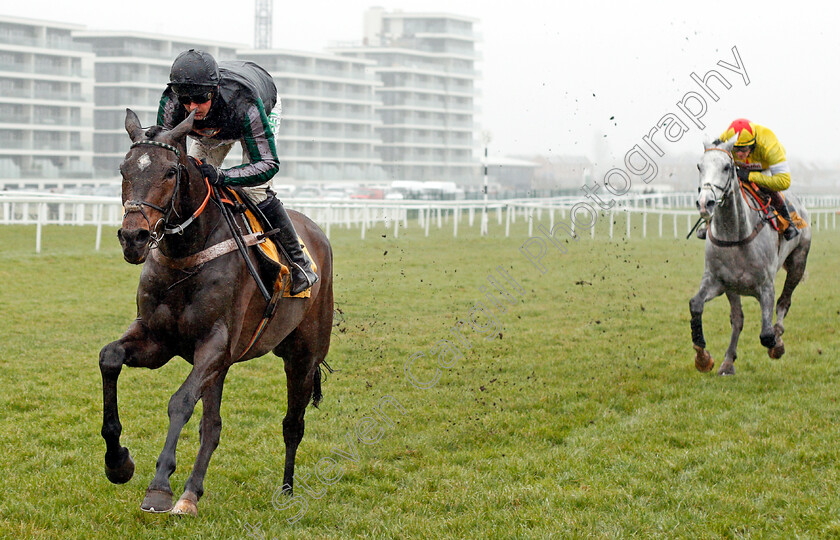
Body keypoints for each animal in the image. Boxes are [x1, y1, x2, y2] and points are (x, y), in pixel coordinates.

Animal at [100, 108, 334, 516]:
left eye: (170, 172)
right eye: (123, 168)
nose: (134, 238)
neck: (187, 253)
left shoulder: (214, 345)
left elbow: (180, 402)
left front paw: (159, 487)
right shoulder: (158, 340)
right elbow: (110, 357)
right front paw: (118, 463)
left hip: (303, 356)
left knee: (293, 423)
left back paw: (287, 490)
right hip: (224, 366)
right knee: (212, 426)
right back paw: (191, 494)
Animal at [688, 136, 812, 376]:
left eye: (727, 167)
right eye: (699, 166)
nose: (705, 203)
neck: (735, 235)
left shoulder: (766, 286)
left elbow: (766, 333)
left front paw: (776, 344)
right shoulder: (718, 281)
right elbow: (696, 304)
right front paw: (703, 357)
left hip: (798, 262)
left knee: (784, 302)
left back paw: (778, 338)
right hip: (733, 288)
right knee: (738, 319)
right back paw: (728, 362)